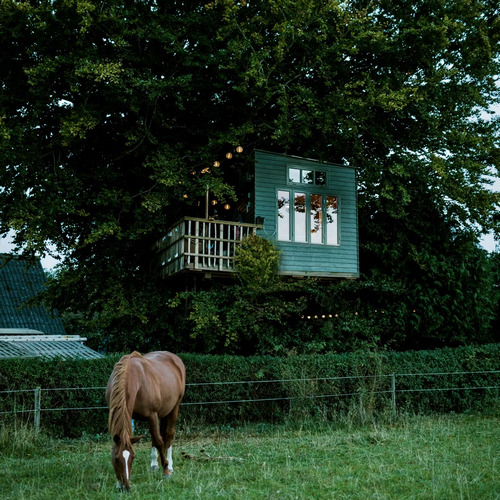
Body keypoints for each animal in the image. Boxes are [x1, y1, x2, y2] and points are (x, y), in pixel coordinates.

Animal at [105, 350, 186, 490]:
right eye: (115, 458)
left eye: (133, 457)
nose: (125, 486)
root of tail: (174, 357)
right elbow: (155, 439)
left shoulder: (152, 415)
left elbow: (159, 441)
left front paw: (166, 471)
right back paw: (154, 464)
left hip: (174, 408)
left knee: (168, 435)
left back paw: (169, 465)